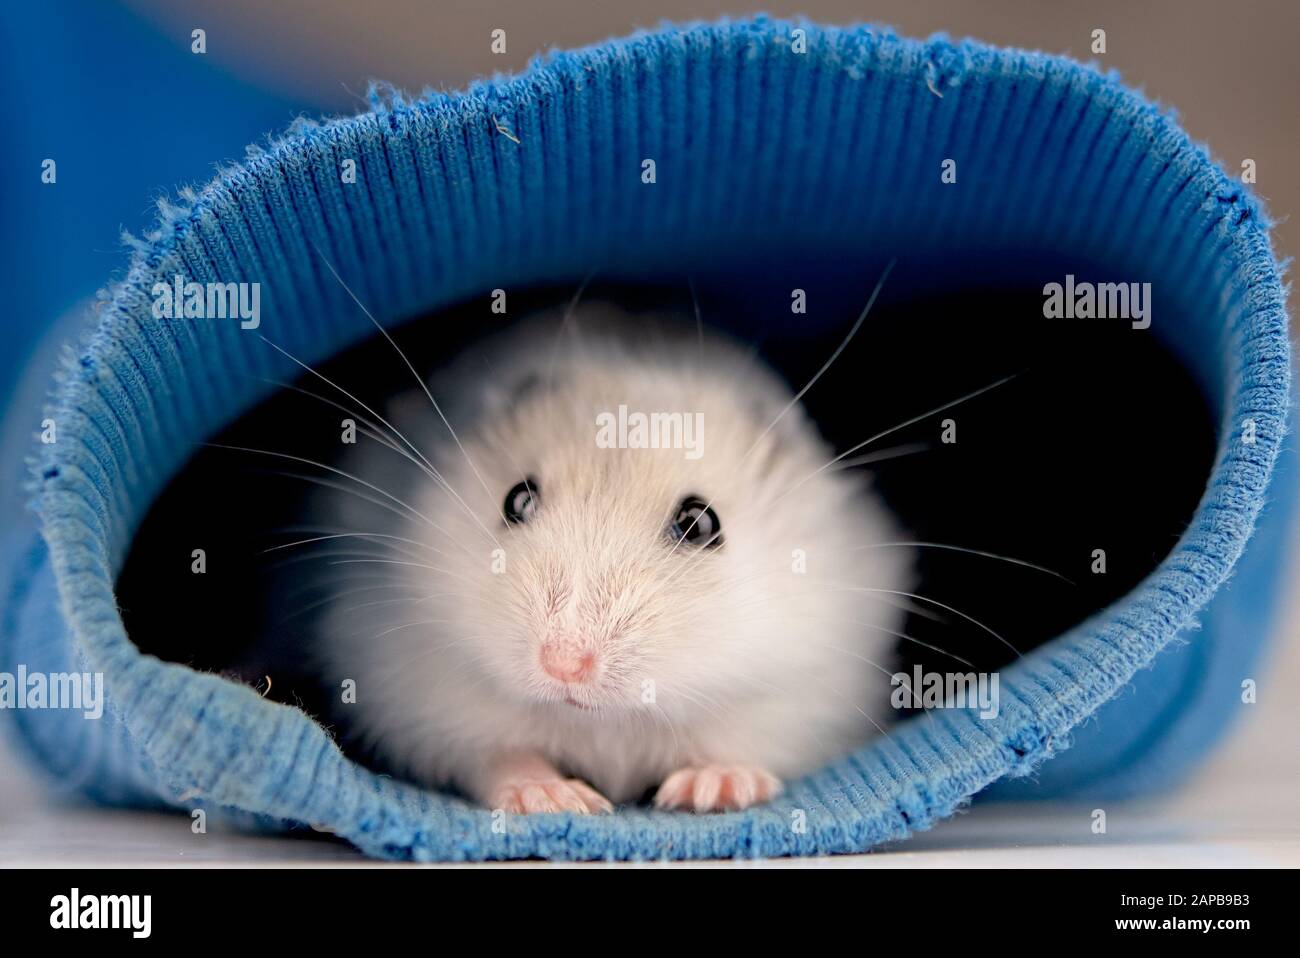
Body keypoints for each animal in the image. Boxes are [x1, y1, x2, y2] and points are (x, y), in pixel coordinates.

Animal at [304, 302, 915, 811]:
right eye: (516, 499)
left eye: (701, 524)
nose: (563, 665)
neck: (609, 720)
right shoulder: (415, 689)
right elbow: (498, 753)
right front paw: (556, 801)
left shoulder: (806, 692)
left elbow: (735, 742)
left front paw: (710, 791)